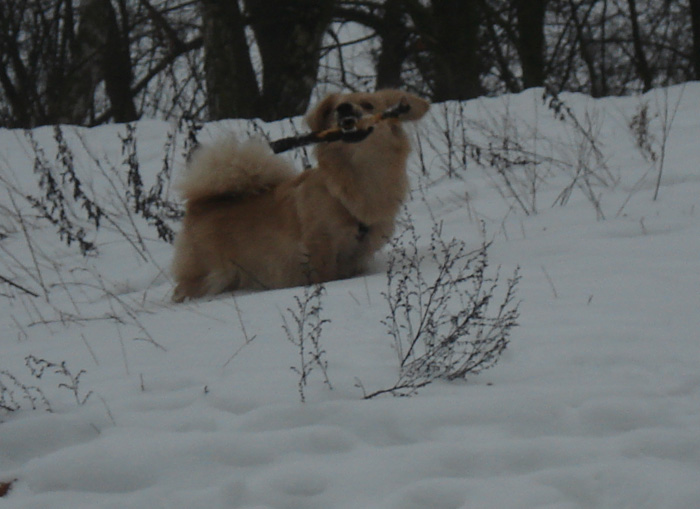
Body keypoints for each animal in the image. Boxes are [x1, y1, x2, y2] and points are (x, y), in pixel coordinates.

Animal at [172, 90, 430, 302]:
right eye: (336, 106)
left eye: (368, 104)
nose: (344, 107)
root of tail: (200, 204)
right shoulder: (320, 246)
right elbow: (326, 276)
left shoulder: (359, 253)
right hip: (208, 274)